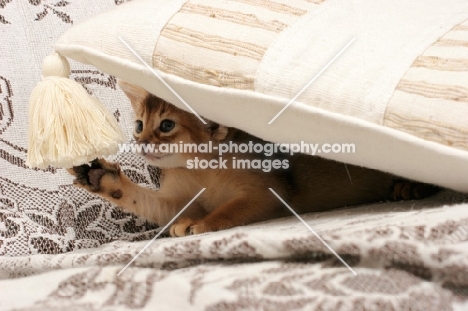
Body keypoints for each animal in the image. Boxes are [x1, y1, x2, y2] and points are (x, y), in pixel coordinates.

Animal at [67, 81, 436, 238]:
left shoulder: (267, 193)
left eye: (166, 126)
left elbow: (229, 210)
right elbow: (148, 202)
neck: (201, 171)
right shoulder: (180, 200)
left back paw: (410, 187)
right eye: (140, 124)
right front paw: (102, 178)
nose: (139, 142)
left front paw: (203, 224)